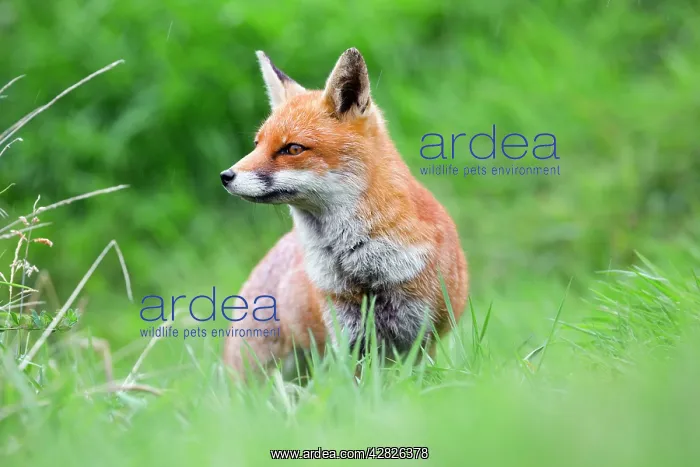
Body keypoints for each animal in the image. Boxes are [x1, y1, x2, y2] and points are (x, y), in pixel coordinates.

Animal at [220, 48, 468, 377]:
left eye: (292, 149)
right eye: (256, 144)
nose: (226, 176)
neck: (361, 272)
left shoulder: (420, 338)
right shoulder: (346, 336)